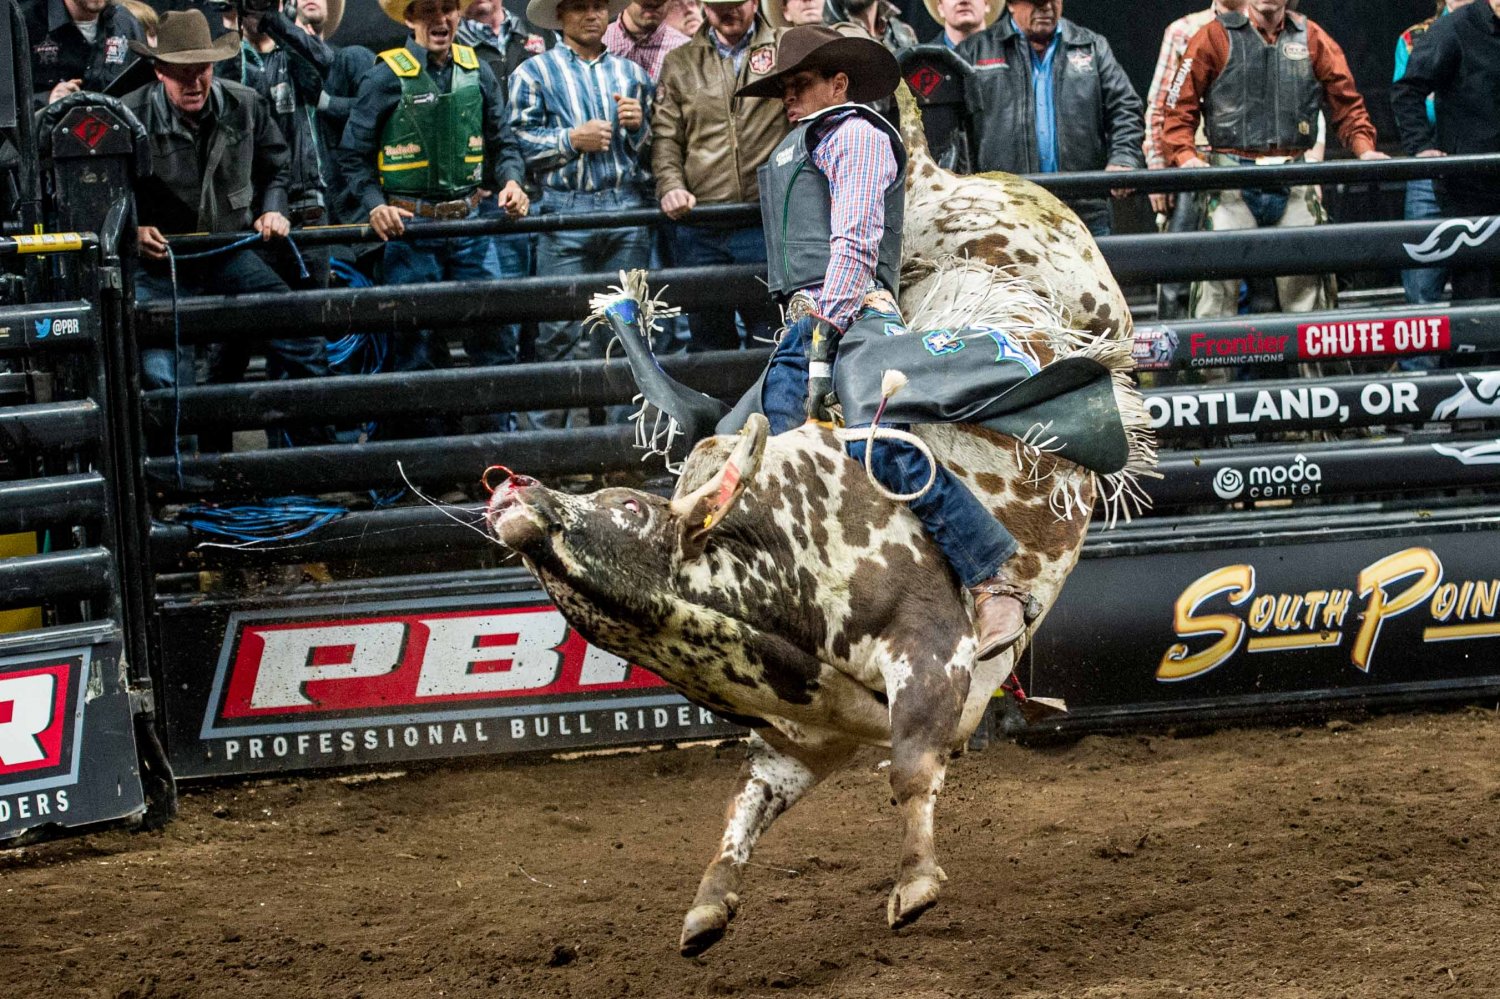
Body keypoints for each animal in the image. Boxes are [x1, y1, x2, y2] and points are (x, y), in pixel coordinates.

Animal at [486, 91, 1152, 948]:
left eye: (629, 505)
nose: (512, 489)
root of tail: (937, 175)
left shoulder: (930, 652)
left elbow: (910, 766)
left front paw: (915, 884)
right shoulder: (799, 742)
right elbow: (744, 807)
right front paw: (708, 904)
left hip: (1082, 295)